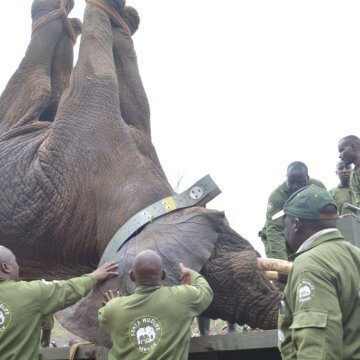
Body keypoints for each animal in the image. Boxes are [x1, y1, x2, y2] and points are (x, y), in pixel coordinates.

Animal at [0, 0, 282, 346]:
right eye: (246, 268)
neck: (146, 211)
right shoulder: (91, 136)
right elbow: (101, 74)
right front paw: (113, 11)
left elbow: (134, 94)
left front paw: (124, 20)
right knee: (36, 80)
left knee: (47, 86)